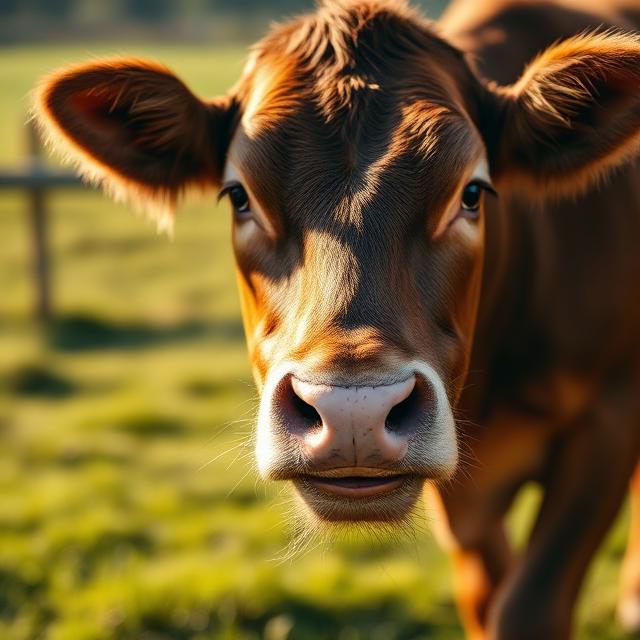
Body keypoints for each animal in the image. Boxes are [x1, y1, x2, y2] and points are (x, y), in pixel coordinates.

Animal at [34, 0, 640, 637]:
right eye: (239, 196)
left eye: (472, 193)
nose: (354, 412)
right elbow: (485, 600)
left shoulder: (609, 419)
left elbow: (528, 606)